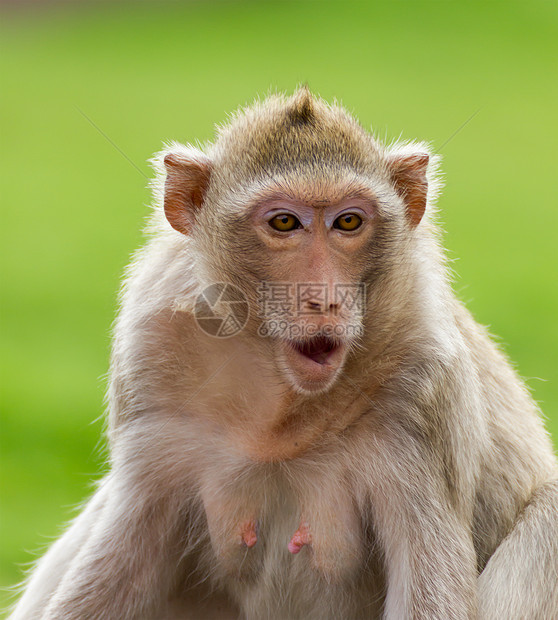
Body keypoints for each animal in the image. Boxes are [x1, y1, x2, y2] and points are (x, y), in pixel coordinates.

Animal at [9, 88, 558, 620]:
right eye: (284, 222)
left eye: (349, 221)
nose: (324, 298)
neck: (281, 402)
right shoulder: (150, 359)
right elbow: (120, 560)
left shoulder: (425, 393)